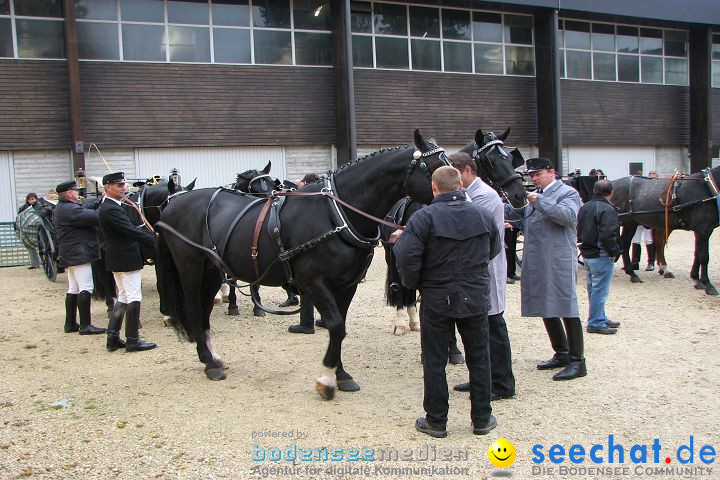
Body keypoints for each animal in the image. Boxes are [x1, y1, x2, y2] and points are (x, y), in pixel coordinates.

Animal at [156, 129, 450, 400]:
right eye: (432, 169)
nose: (456, 201)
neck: (336, 214)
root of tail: (172, 204)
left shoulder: (347, 284)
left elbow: (340, 327)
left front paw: (341, 375)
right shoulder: (313, 282)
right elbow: (335, 325)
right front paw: (327, 380)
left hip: (211, 271)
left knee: (205, 309)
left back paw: (214, 357)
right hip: (190, 267)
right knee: (194, 309)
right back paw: (209, 364)